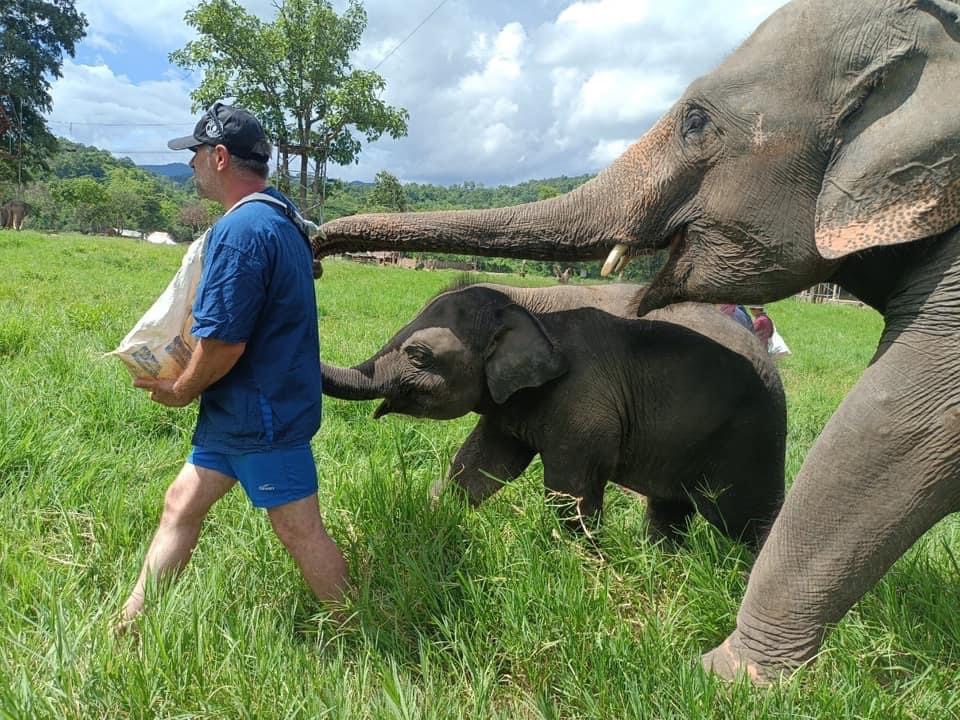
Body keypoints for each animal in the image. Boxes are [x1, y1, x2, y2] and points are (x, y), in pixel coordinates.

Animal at [322, 282, 786, 551]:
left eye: (418, 356)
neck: (524, 301)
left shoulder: (584, 400)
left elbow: (567, 493)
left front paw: (581, 564)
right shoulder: (511, 403)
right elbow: (480, 467)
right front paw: (438, 517)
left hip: (749, 439)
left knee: (746, 518)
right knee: (670, 509)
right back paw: (660, 560)